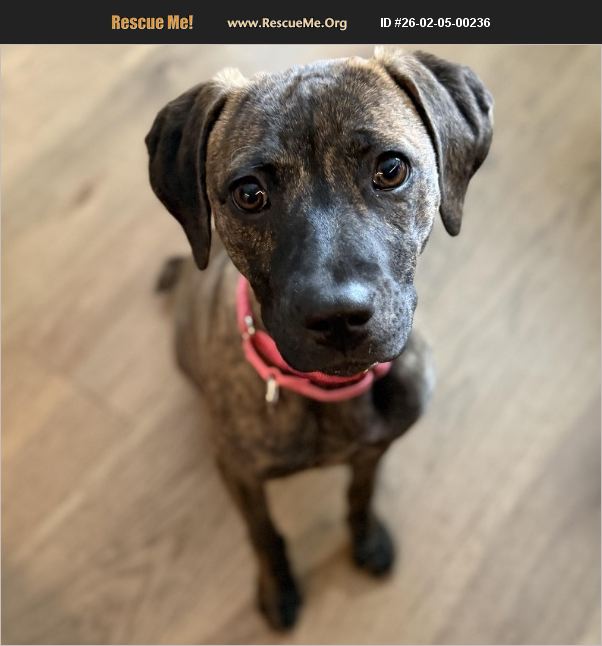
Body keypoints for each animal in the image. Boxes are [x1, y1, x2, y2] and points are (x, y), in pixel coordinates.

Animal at [146, 49, 493, 630]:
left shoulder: (375, 447)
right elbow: (263, 533)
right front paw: (277, 588)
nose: (338, 317)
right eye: (249, 194)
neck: (330, 398)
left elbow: (360, 493)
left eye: (391, 169)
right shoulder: (241, 475)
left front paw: (366, 538)